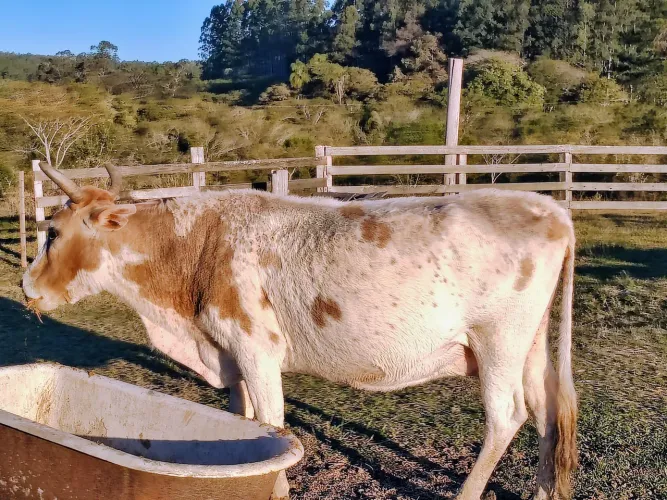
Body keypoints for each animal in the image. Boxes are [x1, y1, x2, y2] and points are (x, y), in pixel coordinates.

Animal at [23, 161, 578, 500]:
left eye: (52, 232)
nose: (25, 285)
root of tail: (547, 206)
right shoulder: (229, 353)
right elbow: (243, 422)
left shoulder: (256, 348)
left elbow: (274, 425)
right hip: (529, 347)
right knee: (546, 410)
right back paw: (542, 490)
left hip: (498, 342)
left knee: (507, 416)